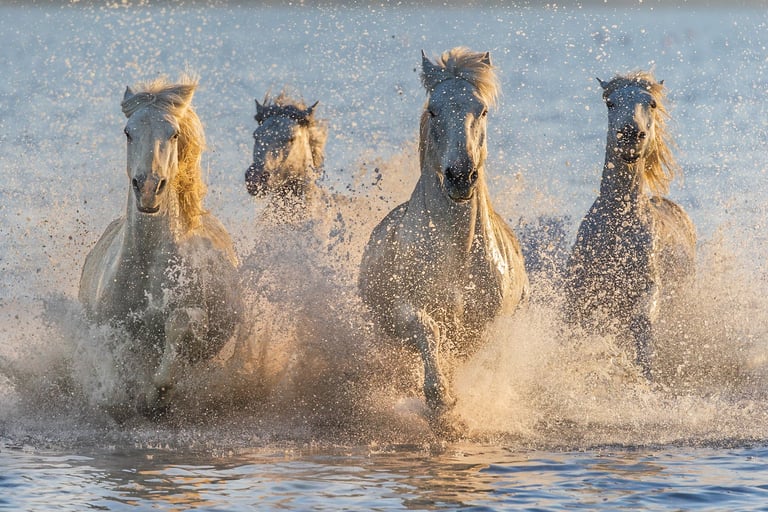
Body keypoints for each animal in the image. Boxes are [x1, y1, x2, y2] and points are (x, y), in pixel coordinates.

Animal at [79, 75, 243, 418]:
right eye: (128, 132)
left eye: (174, 133)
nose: (148, 189)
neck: (146, 264)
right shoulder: (106, 325)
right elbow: (117, 366)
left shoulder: (194, 317)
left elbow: (177, 329)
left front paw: (158, 395)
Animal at [359, 48, 529, 431]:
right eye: (433, 109)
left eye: (482, 110)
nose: (461, 176)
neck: (456, 253)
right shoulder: (403, 310)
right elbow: (430, 331)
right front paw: (441, 401)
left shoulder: (490, 323)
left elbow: (469, 352)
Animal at [565, 71, 696, 379]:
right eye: (610, 102)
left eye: (651, 103)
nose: (630, 137)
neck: (617, 226)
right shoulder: (578, 291)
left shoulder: (648, 288)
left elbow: (642, 324)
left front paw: (645, 375)